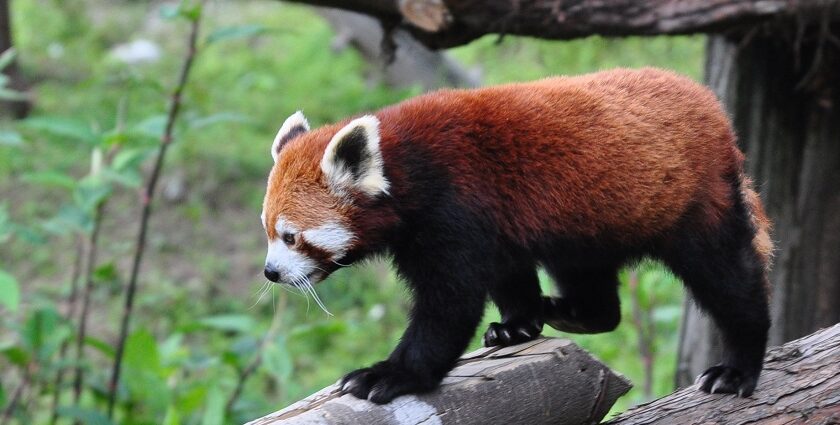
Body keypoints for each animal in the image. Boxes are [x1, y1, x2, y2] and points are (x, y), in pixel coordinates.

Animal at [260, 68, 772, 402]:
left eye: (290, 237)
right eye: (268, 232)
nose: (270, 273)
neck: (407, 167)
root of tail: (708, 102)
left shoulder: (455, 209)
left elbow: (449, 307)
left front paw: (390, 374)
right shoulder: (495, 223)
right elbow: (506, 273)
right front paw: (517, 324)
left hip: (695, 200)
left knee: (728, 277)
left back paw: (737, 368)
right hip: (587, 221)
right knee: (589, 280)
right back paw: (571, 313)